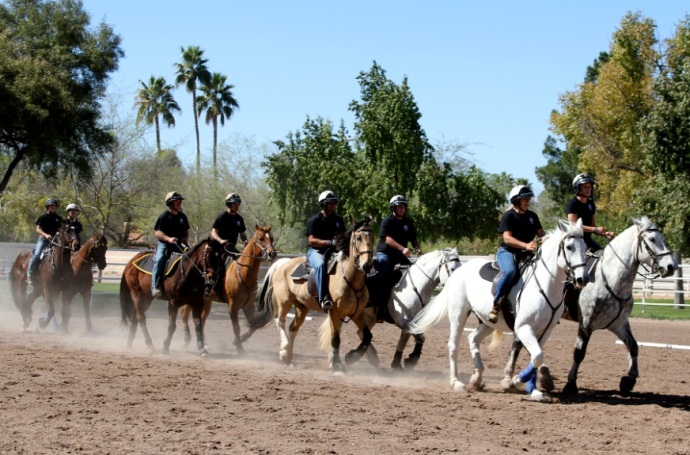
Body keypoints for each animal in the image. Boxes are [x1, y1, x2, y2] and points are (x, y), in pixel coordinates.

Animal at [180, 226, 276, 354]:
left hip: (207, 301)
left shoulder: (248, 305)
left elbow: (253, 325)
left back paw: (204, 344)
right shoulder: (233, 306)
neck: (242, 272)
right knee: (184, 314)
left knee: (202, 319)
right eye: (261, 239)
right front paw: (239, 348)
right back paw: (187, 339)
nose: (272, 254)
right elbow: (236, 327)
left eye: (272, 239)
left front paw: (239, 340)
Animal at [250, 218, 374, 374]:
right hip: (284, 302)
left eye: (372, 238)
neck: (349, 279)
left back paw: (289, 359)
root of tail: (283, 262)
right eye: (358, 238)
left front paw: (351, 357)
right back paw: (284, 352)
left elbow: (367, 336)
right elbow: (335, 339)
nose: (367, 265)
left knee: (292, 328)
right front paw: (337, 365)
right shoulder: (334, 312)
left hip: (302, 307)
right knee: (280, 321)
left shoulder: (357, 313)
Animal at [408, 221, 584, 402]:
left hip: (487, 322)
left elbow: (536, 357)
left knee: (472, 338)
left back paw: (477, 378)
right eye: (569, 247)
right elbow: (536, 356)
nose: (581, 279)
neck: (545, 286)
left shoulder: (544, 331)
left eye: (585, 247)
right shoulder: (524, 328)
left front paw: (533, 389)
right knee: (453, 345)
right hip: (458, 315)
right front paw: (513, 381)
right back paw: (456, 382)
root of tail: (458, 271)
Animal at [500, 216, 672, 398]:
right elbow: (579, 353)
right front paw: (571, 384)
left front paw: (629, 380)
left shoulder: (619, 324)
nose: (670, 266)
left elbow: (633, 346)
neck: (609, 278)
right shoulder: (586, 324)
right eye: (652, 239)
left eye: (662, 238)